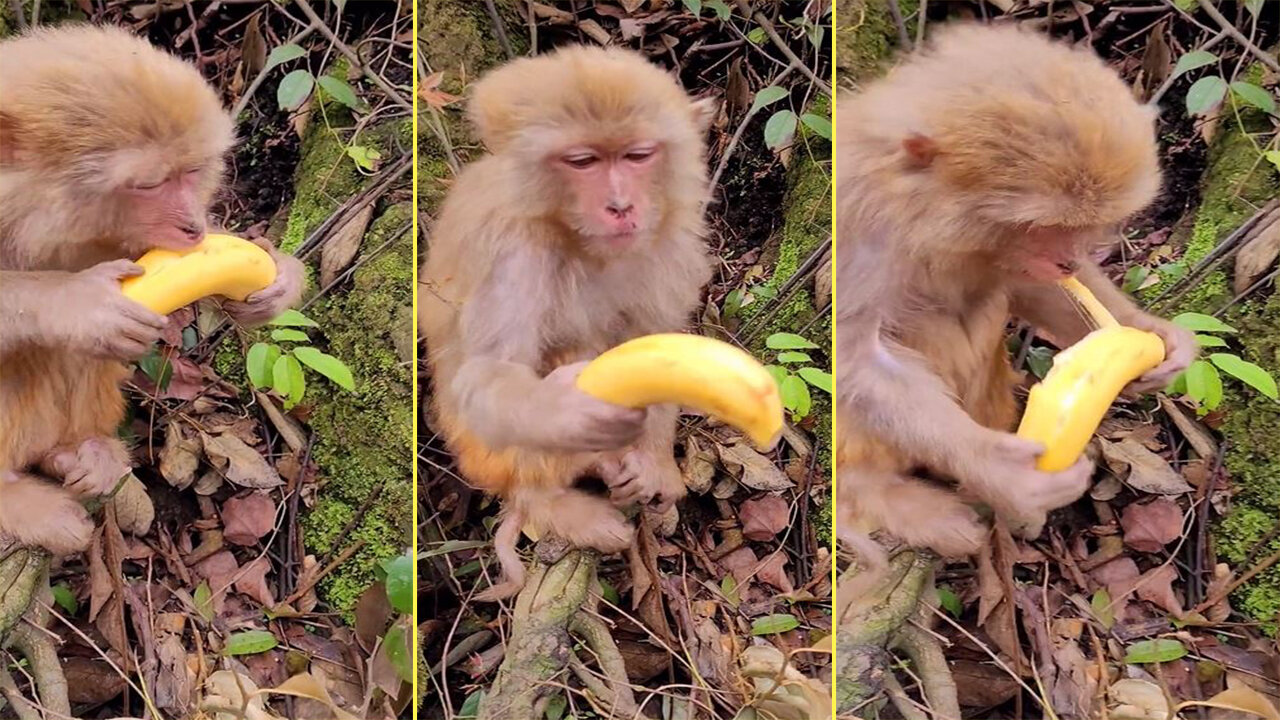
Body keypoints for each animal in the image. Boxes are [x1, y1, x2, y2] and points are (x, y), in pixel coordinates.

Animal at [0, 22, 304, 548]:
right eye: (148, 185)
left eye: (192, 172)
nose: (193, 226)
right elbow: (80, 316)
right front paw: (80, 303)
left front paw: (278, 277)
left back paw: (74, 451)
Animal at [422, 43, 716, 594]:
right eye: (583, 162)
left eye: (638, 155)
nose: (620, 205)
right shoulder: (512, 250)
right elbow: (486, 378)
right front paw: (574, 410)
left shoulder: (667, 242)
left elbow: (660, 338)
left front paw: (653, 462)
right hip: (484, 453)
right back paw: (554, 496)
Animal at [834, 20, 1192, 561]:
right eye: (1043, 227)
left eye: (1078, 229)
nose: (1067, 258)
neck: (928, 219)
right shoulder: (862, 229)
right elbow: (858, 358)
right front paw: (1001, 473)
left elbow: (1030, 285)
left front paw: (1153, 335)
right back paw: (883, 492)